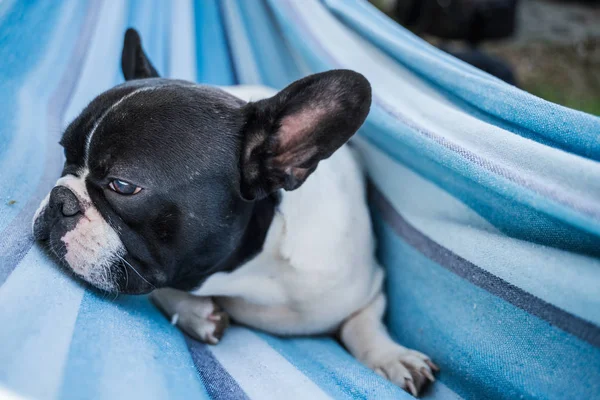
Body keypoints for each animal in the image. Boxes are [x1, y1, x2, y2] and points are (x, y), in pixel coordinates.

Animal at [31, 29, 436, 396]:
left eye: (123, 185)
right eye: (65, 153)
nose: (59, 199)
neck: (250, 275)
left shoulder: (363, 285)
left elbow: (363, 323)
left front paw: (391, 356)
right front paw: (195, 312)